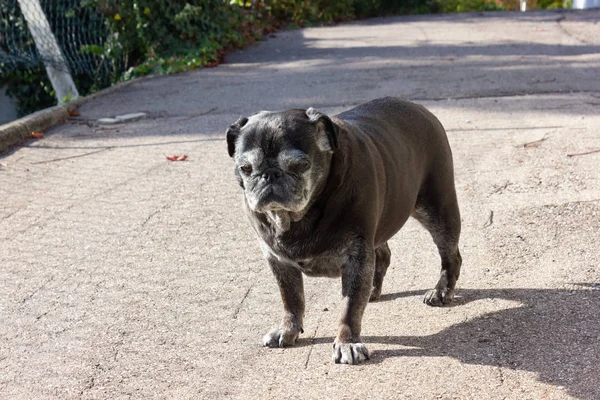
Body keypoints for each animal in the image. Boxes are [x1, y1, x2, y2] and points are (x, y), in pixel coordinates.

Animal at [227, 95, 462, 364]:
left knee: (450, 255)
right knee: (382, 255)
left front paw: (347, 342)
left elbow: (349, 307)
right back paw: (373, 289)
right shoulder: (279, 261)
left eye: (300, 165)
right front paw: (288, 329)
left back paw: (441, 291)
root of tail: (420, 108)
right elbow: (291, 299)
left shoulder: (356, 256)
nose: (270, 175)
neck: (298, 217)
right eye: (245, 168)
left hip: (437, 210)